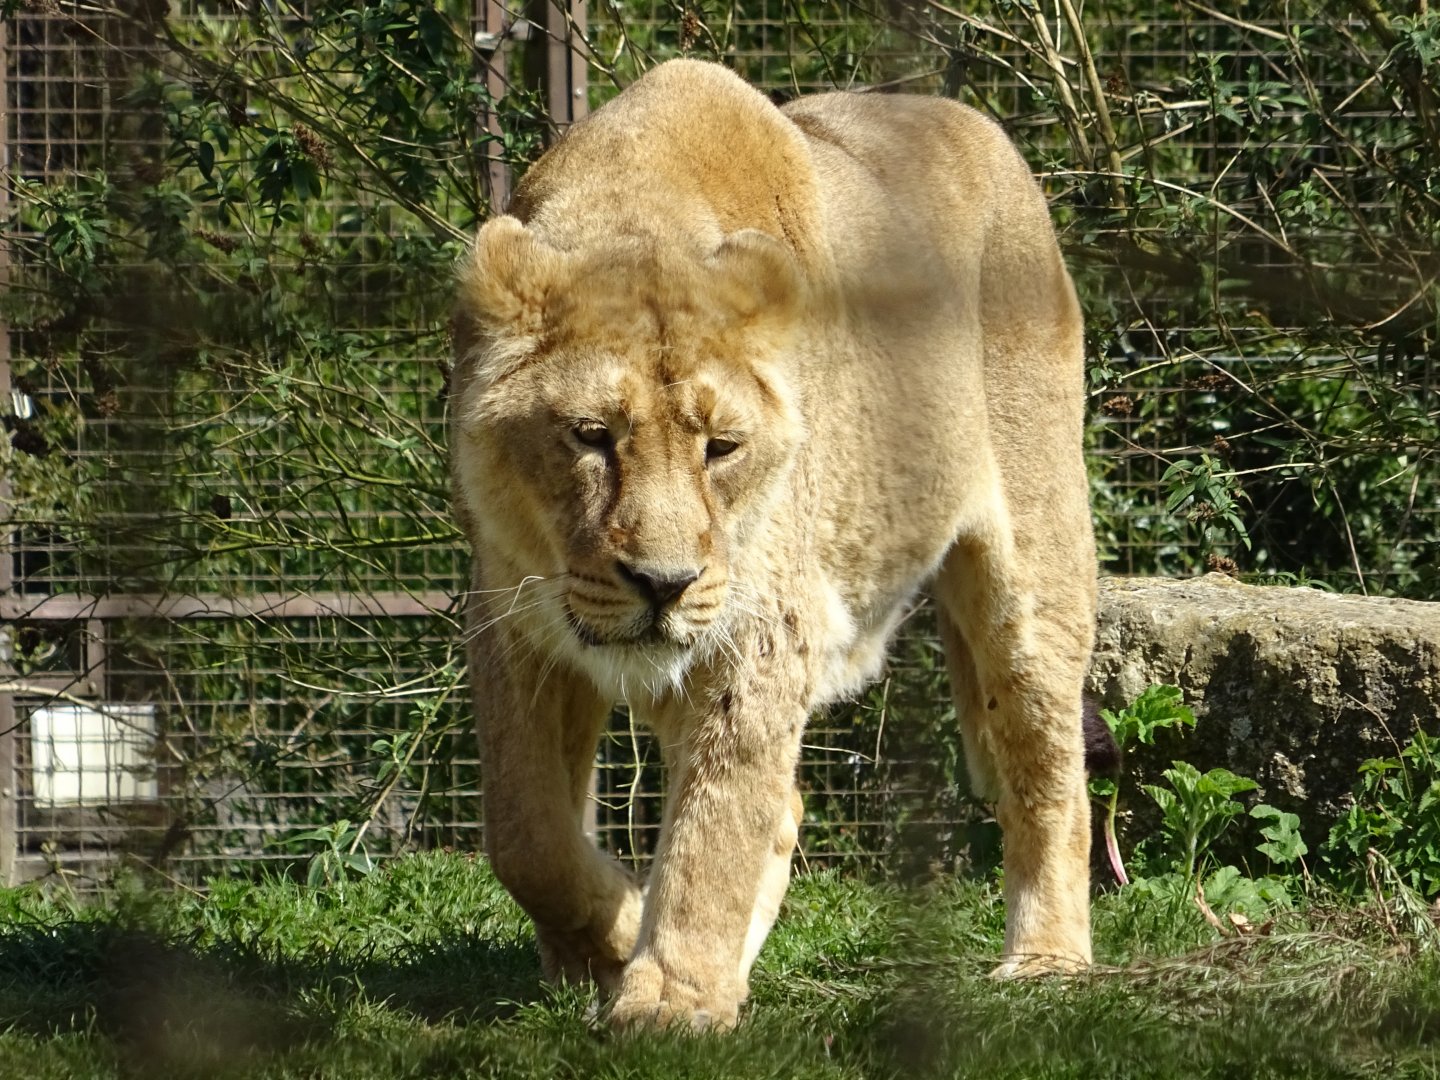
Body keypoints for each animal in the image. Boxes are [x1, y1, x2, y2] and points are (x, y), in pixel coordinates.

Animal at [449, 58, 1098, 1030]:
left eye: (722, 448)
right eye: (591, 436)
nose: (664, 583)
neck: (633, 202)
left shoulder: (759, 627)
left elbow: (716, 822)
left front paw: (669, 996)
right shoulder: (516, 621)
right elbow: (526, 833)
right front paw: (611, 940)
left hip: (1033, 560)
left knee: (1049, 761)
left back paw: (1049, 961)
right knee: (781, 803)